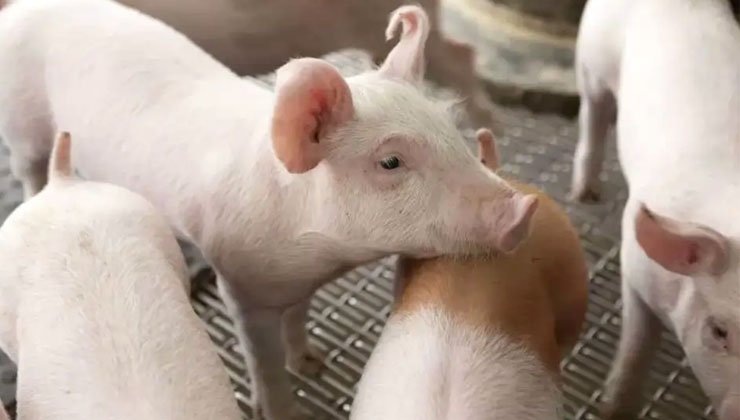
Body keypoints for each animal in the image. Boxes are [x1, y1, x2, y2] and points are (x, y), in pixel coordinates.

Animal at [571, 0, 740, 418]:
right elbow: (638, 344)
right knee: (593, 113)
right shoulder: (636, 268)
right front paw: (613, 407)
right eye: (718, 331)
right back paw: (585, 194)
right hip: (592, 58)